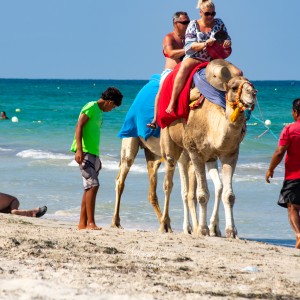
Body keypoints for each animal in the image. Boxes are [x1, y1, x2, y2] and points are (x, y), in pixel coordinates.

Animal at [161, 74, 256, 237]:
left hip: (197, 155)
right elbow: (202, 195)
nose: (252, 94)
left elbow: (228, 195)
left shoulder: (230, 154)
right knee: (171, 183)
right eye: (234, 88)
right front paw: (203, 229)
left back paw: (200, 228)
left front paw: (231, 231)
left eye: (251, 84)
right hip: (171, 142)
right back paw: (169, 226)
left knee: (210, 187)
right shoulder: (195, 152)